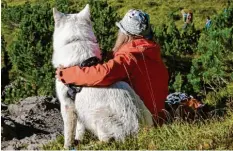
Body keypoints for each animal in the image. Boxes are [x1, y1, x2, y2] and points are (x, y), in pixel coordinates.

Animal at [52, 4, 154, 149]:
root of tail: (139, 133)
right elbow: (79, 129)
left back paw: (91, 146)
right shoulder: (78, 107)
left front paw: (68, 147)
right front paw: (78, 139)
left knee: (108, 141)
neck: (77, 41)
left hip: (97, 115)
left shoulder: (67, 105)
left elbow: (68, 133)